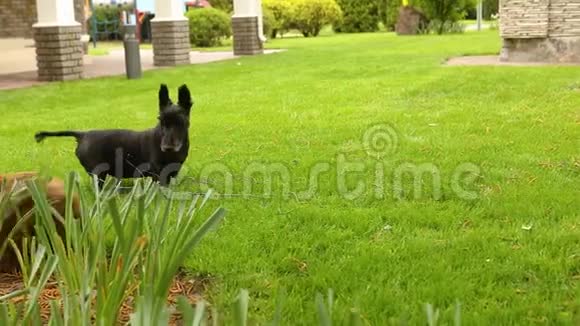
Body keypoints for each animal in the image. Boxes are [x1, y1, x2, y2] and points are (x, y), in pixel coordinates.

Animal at [35, 83, 194, 188]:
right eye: (160, 120)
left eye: (180, 122)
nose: (166, 147)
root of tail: (82, 135)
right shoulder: (158, 173)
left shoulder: (173, 170)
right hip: (98, 173)